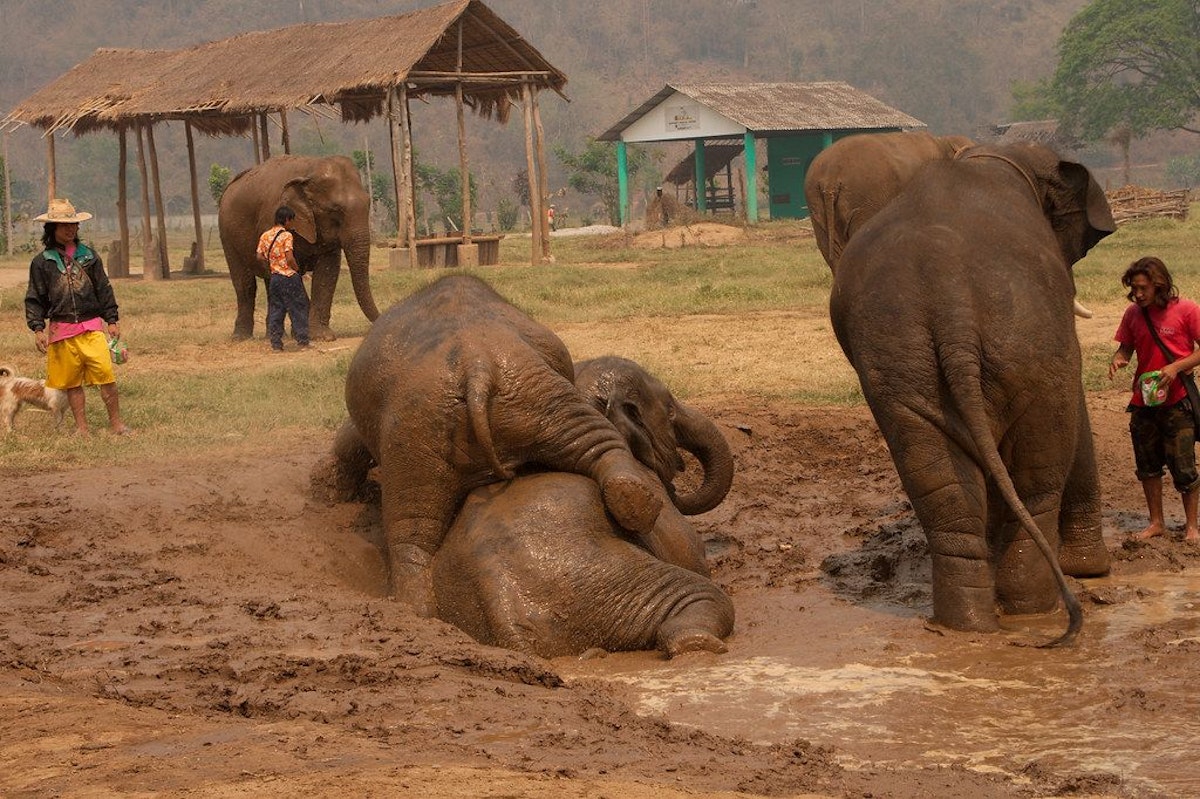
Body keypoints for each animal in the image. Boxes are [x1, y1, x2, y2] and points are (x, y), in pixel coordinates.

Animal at [217, 152, 379, 338]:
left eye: (369, 204)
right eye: (335, 210)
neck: (309, 168)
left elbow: (327, 271)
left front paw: (322, 336)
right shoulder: (270, 220)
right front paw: (309, 333)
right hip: (226, 234)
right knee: (245, 283)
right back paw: (241, 337)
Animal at [825, 139, 1113, 643]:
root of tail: (951, 298)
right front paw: (1091, 570)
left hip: (902, 361)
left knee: (940, 483)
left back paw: (969, 626)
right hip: (1030, 345)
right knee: (1038, 476)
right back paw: (1034, 612)